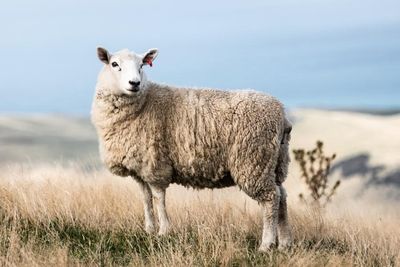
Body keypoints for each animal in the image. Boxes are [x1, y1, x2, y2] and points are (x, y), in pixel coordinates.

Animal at [92, 46, 294, 251]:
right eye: (114, 64)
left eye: (142, 65)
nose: (135, 83)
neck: (144, 102)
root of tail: (281, 114)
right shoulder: (139, 169)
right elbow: (146, 199)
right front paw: (149, 230)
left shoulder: (155, 165)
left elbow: (158, 198)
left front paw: (164, 231)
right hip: (274, 162)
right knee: (282, 196)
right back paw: (284, 243)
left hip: (253, 161)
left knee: (270, 199)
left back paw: (266, 244)